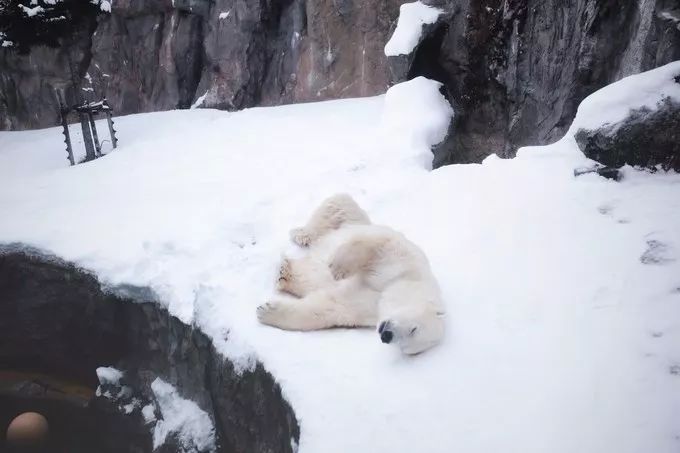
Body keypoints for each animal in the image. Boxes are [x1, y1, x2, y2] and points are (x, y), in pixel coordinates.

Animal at [256, 192, 446, 354]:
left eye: (406, 347)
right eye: (414, 329)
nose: (387, 336)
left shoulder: (366, 309)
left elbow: (328, 308)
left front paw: (267, 311)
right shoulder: (404, 262)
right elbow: (378, 245)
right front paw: (338, 269)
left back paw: (285, 272)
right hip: (353, 221)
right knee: (340, 204)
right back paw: (301, 234)